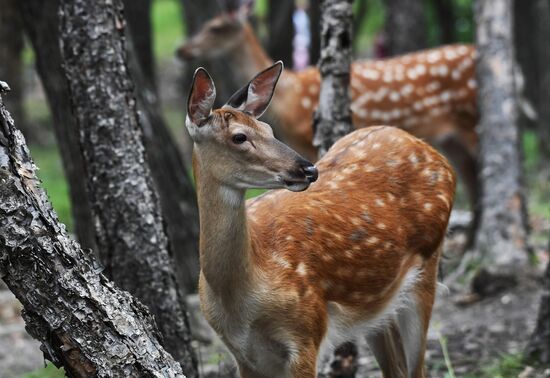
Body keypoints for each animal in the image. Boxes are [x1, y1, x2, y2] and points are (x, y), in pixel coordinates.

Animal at [180, 11, 478, 236]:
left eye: (216, 27)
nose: (182, 49)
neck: (289, 99)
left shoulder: (309, 139)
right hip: (451, 138)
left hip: (471, 122)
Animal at [189, 62, 458, 378]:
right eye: (239, 137)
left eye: (268, 129)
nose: (308, 169)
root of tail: (436, 155)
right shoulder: (242, 353)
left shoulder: (307, 327)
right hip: (378, 304)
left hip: (428, 262)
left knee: (418, 368)